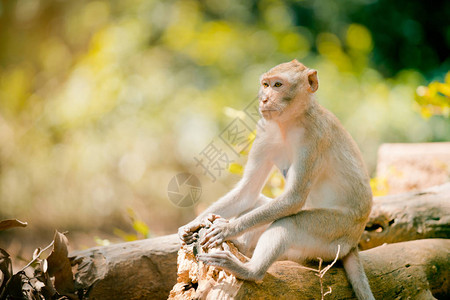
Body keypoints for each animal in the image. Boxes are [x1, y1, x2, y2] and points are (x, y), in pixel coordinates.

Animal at [179, 59, 376, 298]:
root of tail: (354, 242)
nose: (263, 99)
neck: (290, 122)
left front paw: (226, 229)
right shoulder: (264, 129)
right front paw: (192, 225)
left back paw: (250, 270)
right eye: (265, 84)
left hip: (336, 235)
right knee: (257, 203)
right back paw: (240, 246)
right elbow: (247, 191)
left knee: (290, 223)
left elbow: (293, 199)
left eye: (278, 85)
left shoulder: (313, 137)